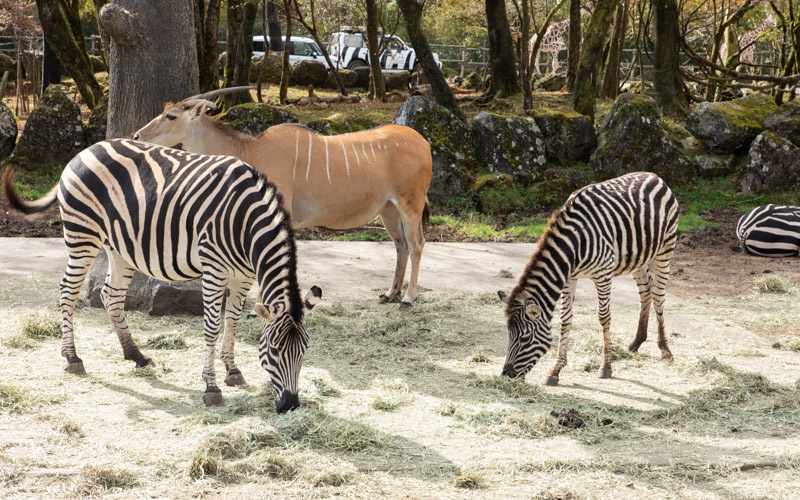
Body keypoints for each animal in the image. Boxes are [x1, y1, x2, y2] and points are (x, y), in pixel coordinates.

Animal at [3, 139, 322, 412]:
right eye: (274, 350)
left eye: (305, 350)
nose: (291, 405)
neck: (245, 223)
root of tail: (85, 151)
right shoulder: (214, 269)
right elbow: (212, 327)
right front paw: (211, 387)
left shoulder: (243, 275)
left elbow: (232, 321)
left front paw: (232, 370)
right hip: (83, 235)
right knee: (68, 291)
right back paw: (72, 358)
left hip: (119, 247)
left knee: (111, 295)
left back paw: (136, 355)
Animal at [133, 90, 432, 308]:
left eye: (171, 116)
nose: (137, 134)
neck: (252, 151)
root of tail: (424, 143)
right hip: (388, 209)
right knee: (401, 245)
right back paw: (390, 293)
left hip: (410, 204)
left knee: (416, 243)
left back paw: (408, 298)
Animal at [496, 173, 680, 386]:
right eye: (509, 335)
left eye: (525, 338)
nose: (506, 374)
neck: (574, 244)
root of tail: (652, 175)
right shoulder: (569, 278)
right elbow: (565, 319)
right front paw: (556, 370)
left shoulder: (603, 274)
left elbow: (604, 316)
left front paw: (606, 367)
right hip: (639, 258)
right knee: (646, 293)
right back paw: (636, 342)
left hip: (665, 249)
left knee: (658, 295)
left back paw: (665, 351)